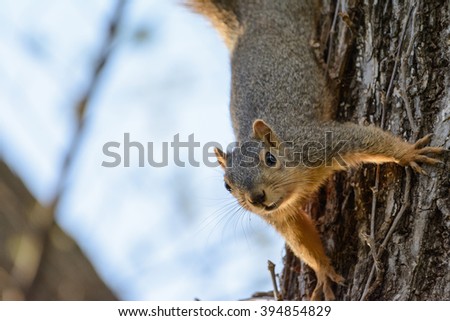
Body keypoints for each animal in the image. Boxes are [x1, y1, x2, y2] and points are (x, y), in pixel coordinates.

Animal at [189, 0, 442, 300]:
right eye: (227, 186)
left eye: (270, 158)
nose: (257, 198)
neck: (298, 182)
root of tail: (248, 16)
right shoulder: (280, 215)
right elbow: (300, 237)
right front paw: (322, 272)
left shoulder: (321, 142)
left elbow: (368, 138)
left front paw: (408, 153)